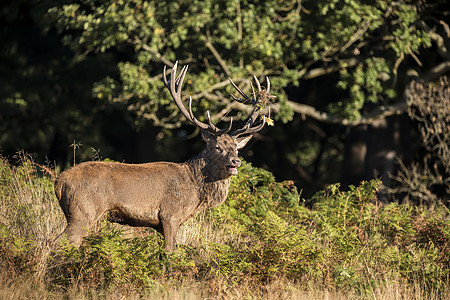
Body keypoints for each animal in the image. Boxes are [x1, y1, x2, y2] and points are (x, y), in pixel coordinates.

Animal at [54, 62, 272, 252]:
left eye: (236, 148)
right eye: (218, 147)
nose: (236, 161)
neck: (195, 190)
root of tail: (59, 182)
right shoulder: (169, 214)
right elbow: (170, 251)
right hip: (83, 212)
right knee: (62, 241)